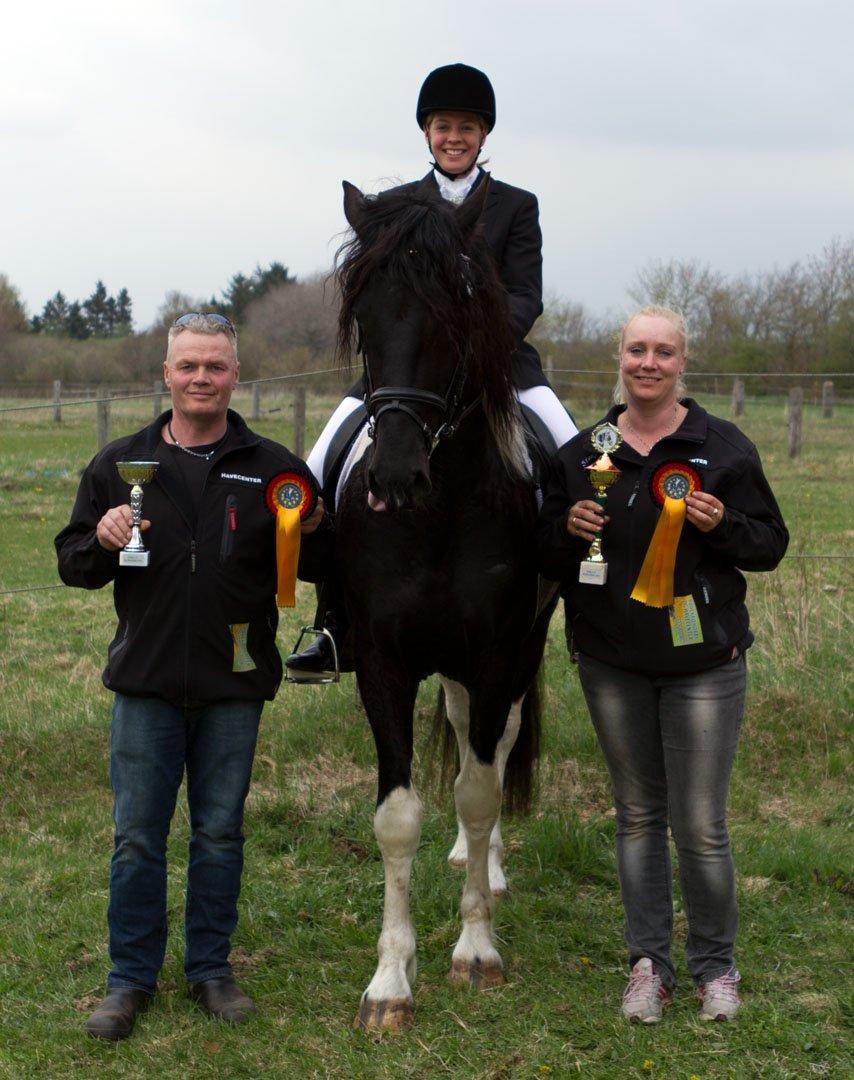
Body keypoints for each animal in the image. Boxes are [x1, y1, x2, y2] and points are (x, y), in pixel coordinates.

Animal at [334, 181, 552, 1032]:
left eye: (454, 315)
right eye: (364, 316)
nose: (394, 477)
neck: (438, 513)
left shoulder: (495, 654)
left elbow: (481, 789)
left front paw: (476, 950)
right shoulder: (382, 662)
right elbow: (399, 815)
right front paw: (389, 983)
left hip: (517, 657)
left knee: (492, 748)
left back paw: (485, 867)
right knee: (462, 736)